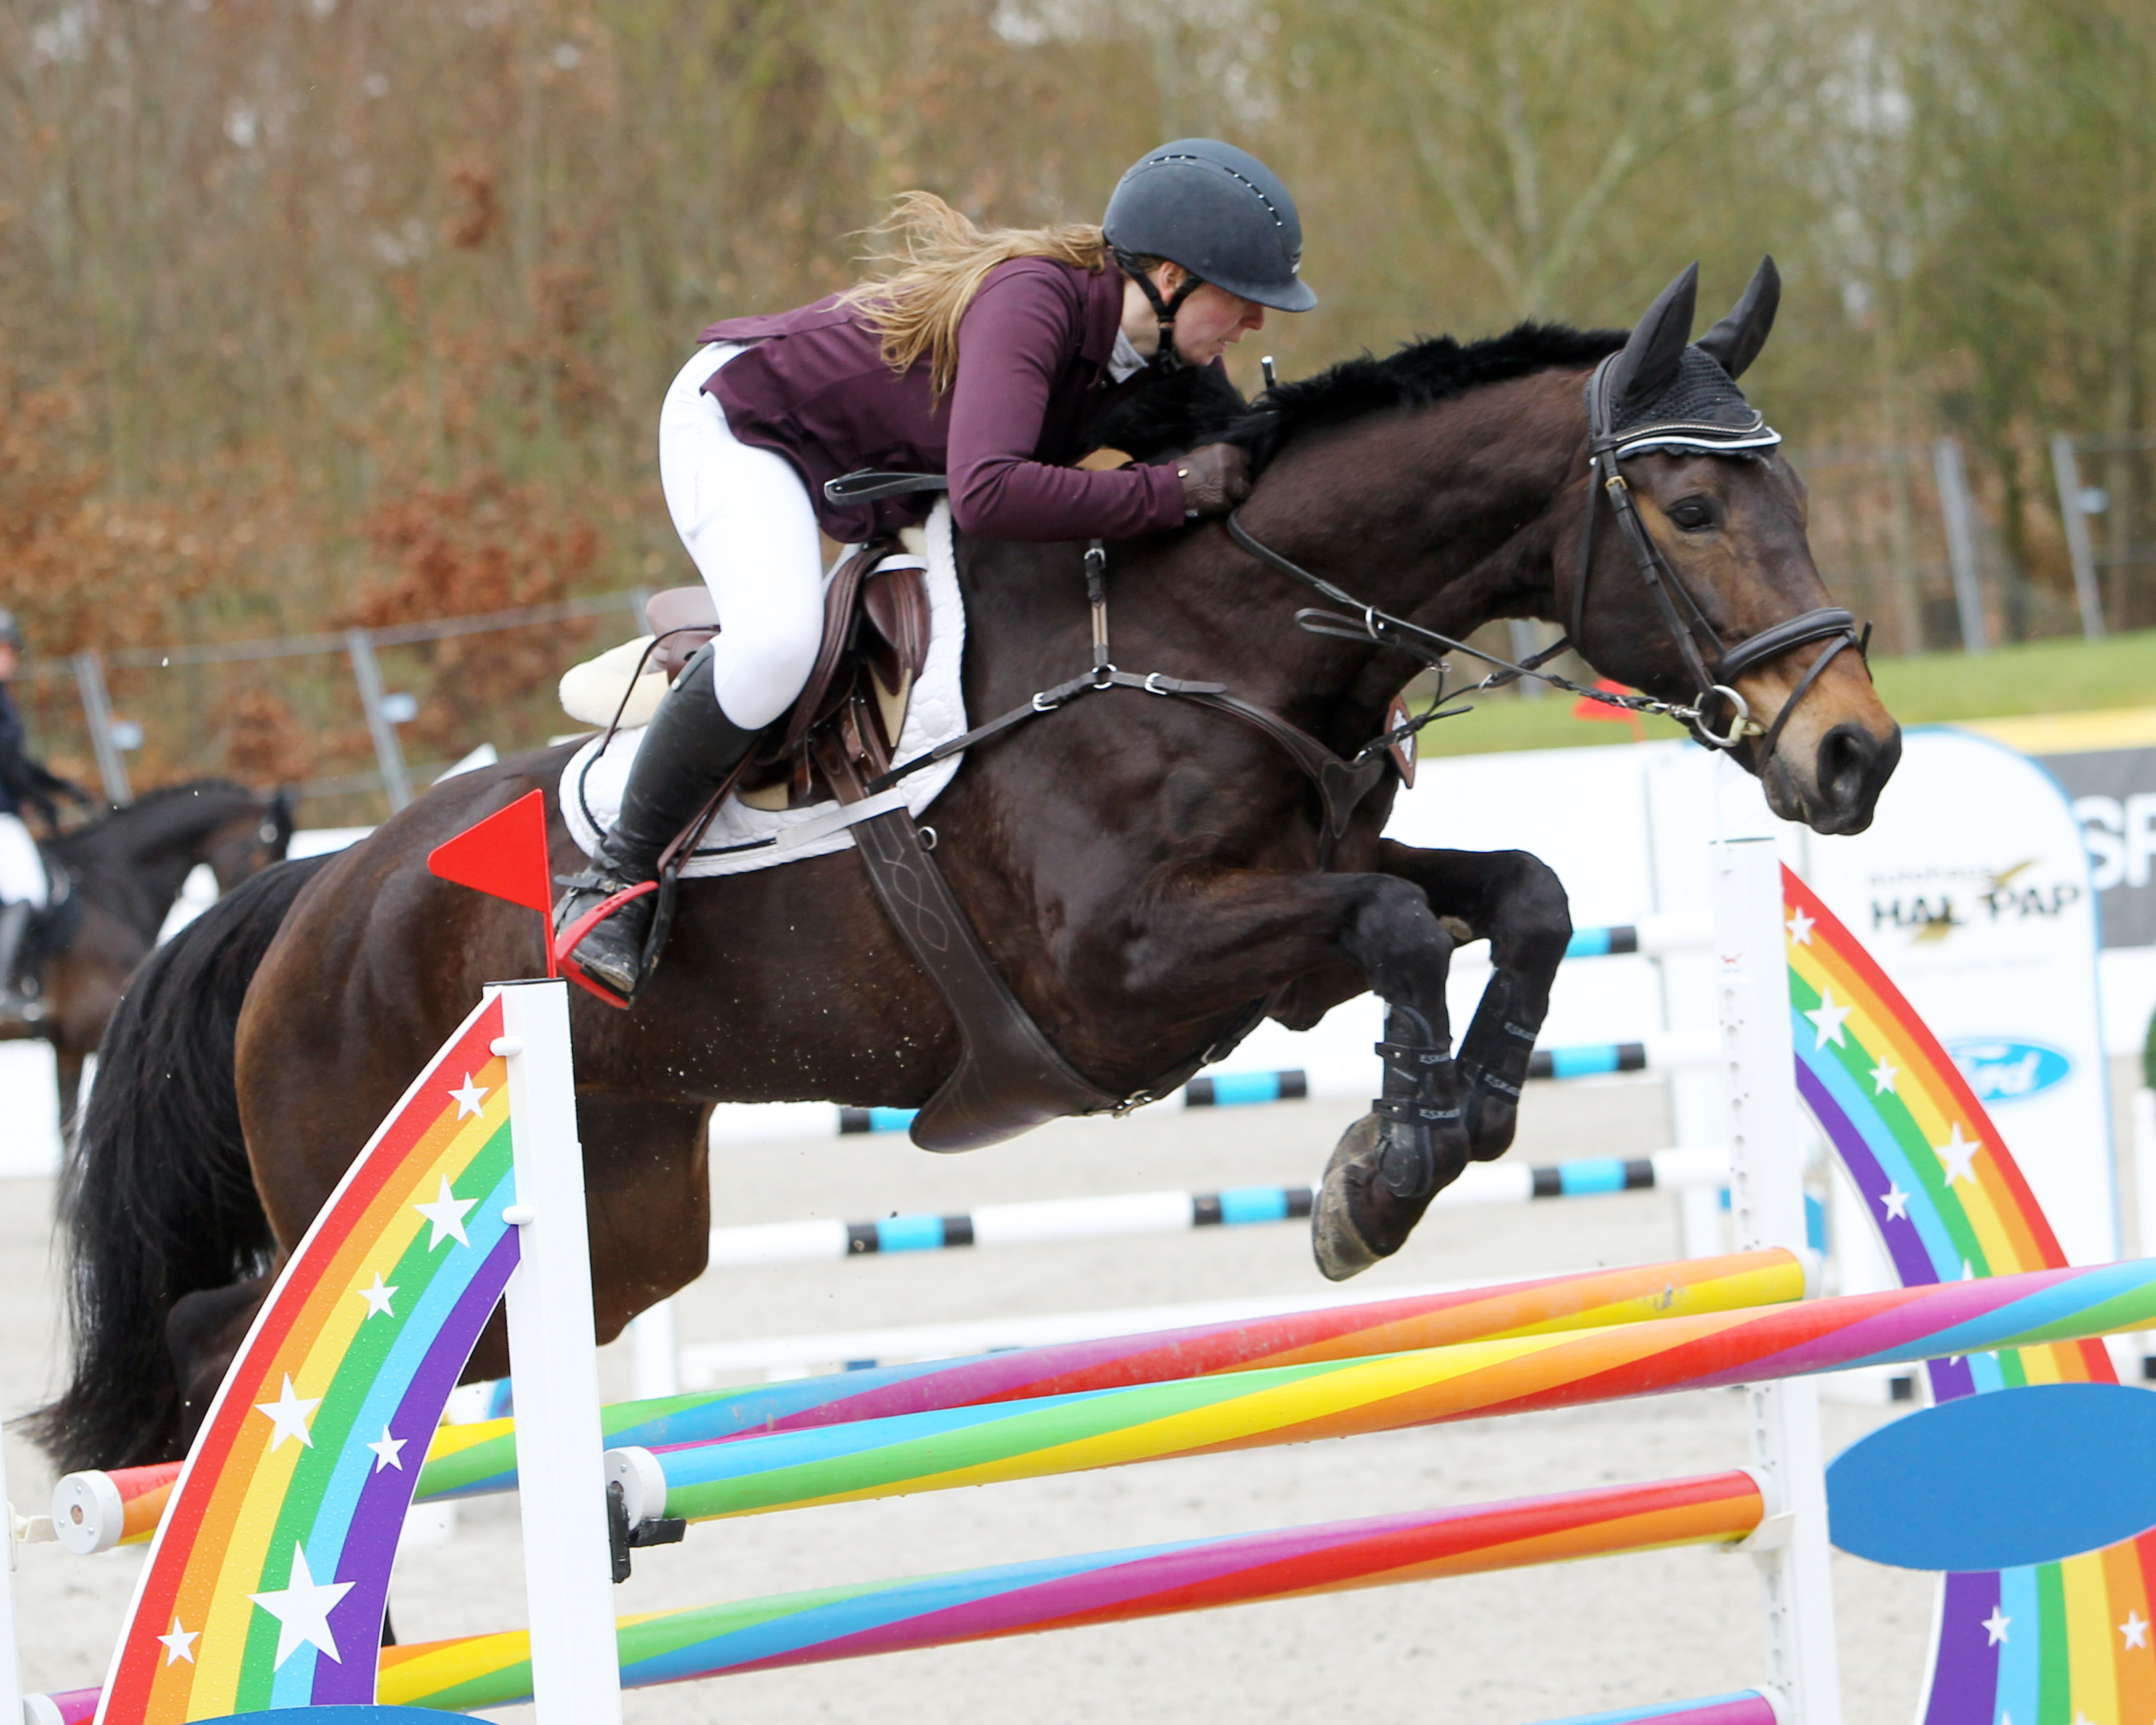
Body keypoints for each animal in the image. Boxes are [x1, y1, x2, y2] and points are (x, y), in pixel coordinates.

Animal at [38, 263, 1906, 1475]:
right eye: (1683, 509)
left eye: (1799, 496)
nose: (1854, 756)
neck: (1215, 630)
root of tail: (319, 894)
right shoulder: (1125, 974)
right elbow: (1396, 921)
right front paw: (1384, 1168)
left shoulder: (1281, 930)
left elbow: (1512, 892)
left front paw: (1432, 1136)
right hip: (359, 1178)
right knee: (222, 1350)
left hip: (610, 1226)